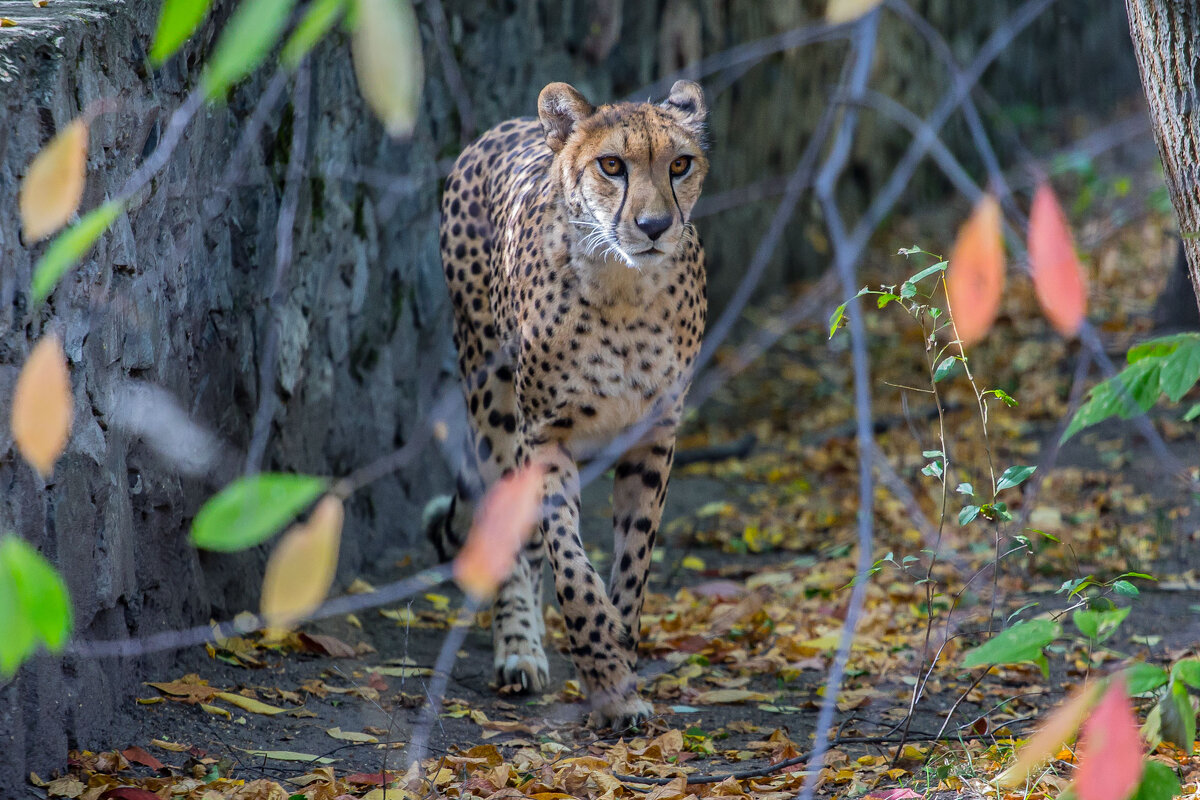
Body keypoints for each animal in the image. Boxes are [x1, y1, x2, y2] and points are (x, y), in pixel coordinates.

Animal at [429, 79, 705, 724]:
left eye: (680, 164)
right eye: (612, 165)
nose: (655, 225)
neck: (625, 293)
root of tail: (501, 128)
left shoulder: (654, 434)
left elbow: (633, 561)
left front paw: (621, 655)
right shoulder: (544, 434)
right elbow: (571, 566)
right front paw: (606, 673)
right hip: (491, 402)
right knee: (511, 531)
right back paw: (519, 649)